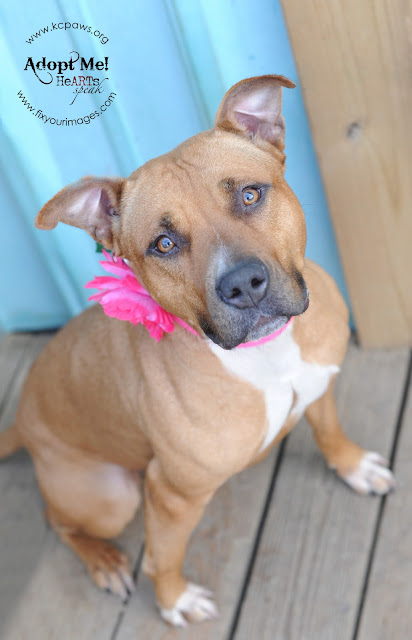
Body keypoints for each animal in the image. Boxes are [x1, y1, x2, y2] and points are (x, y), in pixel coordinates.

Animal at [0, 75, 395, 626]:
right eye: (163, 244)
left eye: (250, 195)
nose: (243, 284)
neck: (266, 354)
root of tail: (21, 421)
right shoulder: (171, 495)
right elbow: (164, 556)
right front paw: (174, 602)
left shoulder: (320, 381)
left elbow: (329, 429)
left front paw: (353, 464)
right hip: (113, 496)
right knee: (59, 520)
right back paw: (104, 562)